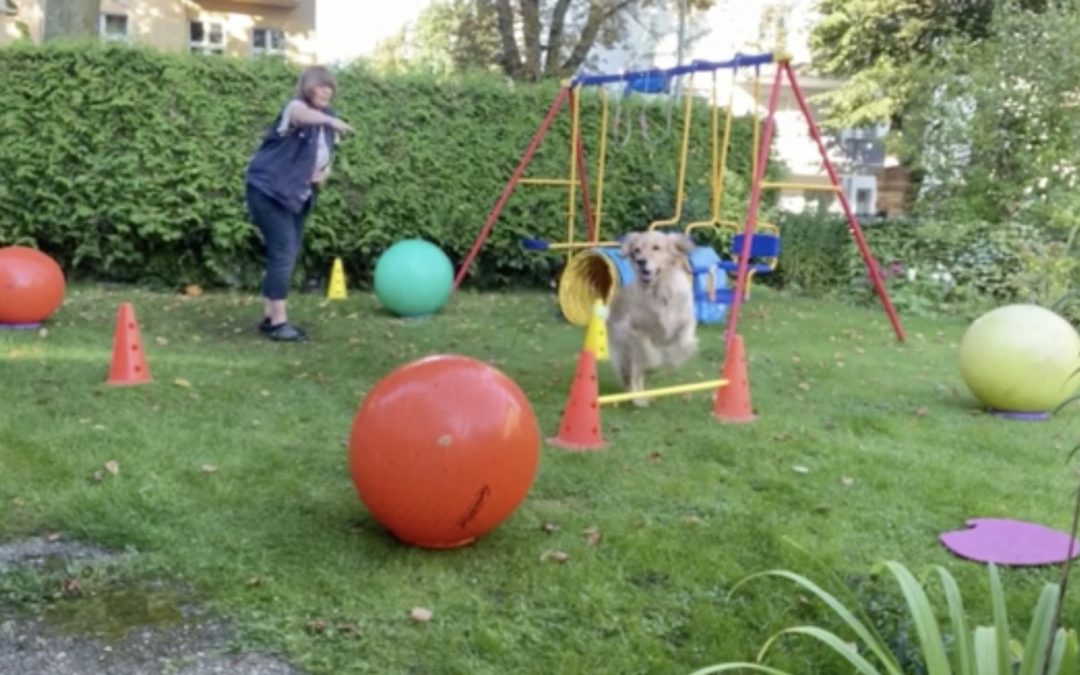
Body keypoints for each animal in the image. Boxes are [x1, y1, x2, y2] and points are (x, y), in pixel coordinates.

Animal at [604, 228, 695, 406]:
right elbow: (650, 356)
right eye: (636, 250)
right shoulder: (636, 331)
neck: (660, 292)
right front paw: (655, 362)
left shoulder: (686, 322)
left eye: (656, 248)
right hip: (623, 351)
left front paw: (673, 362)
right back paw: (638, 398)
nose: (640, 261)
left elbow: (684, 344)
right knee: (633, 374)